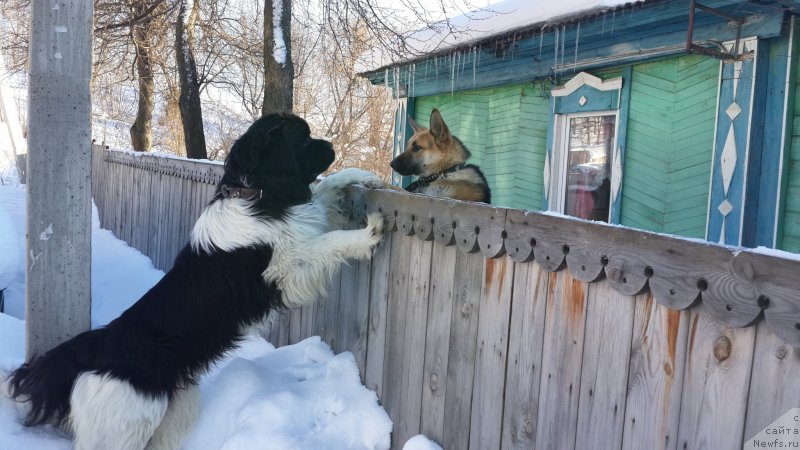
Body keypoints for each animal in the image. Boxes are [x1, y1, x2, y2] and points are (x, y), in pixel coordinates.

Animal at [3, 112, 384, 450]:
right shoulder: (287, 270)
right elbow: (330, 243)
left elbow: (328, 191)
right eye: (302, 139)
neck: (257, 194)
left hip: (173, 412)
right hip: (127, 423)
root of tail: (96, 346)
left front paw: (364, 177)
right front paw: (368, 234)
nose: (331, 145)